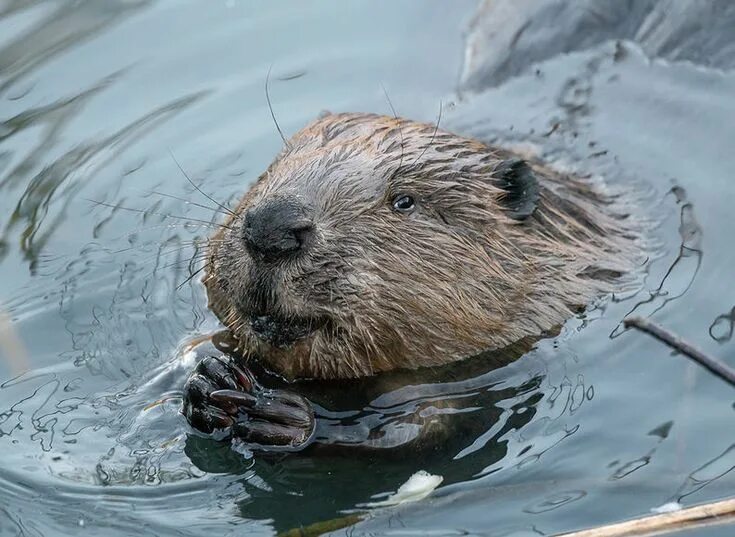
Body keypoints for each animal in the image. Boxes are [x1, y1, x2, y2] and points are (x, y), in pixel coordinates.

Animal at [183, 112, 640, 448]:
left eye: (404, 201)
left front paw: (287, 419)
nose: (271, 228)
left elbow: (419, 428)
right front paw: (211, 383)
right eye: (271, 172)